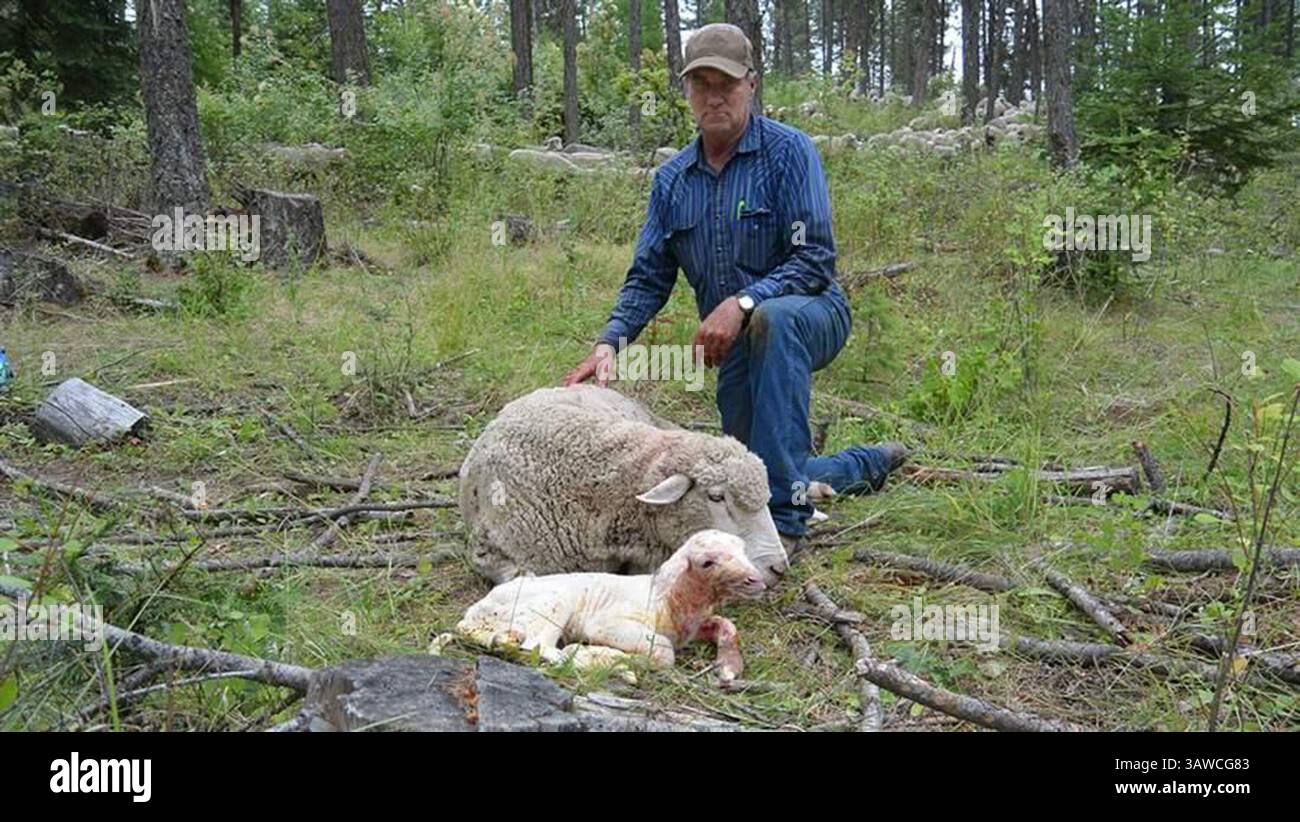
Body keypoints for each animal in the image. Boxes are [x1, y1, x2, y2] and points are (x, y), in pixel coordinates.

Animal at [454, 529, 764, 680]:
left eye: (742, 550)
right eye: (707, 562)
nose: (756, 580)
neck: (670, 601)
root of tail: (474, 614)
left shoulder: (692, 626)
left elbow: (727, 624)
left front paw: (729, 666)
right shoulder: (607, 623)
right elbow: (664, 652)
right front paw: (603, 656)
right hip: (552, 603)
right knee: (536, 645)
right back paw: (581, 657)